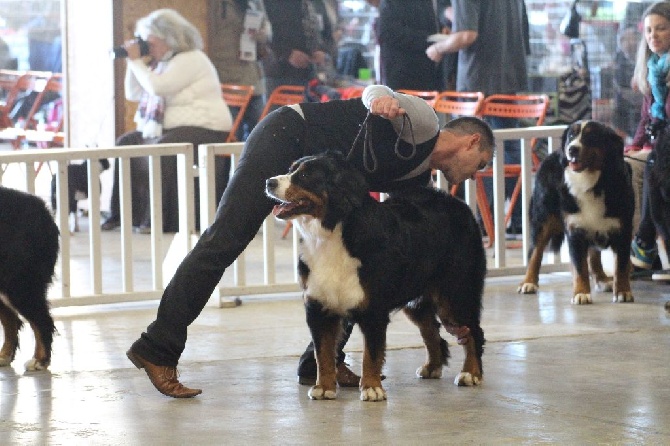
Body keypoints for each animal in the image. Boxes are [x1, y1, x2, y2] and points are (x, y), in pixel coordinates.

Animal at [0, 185, 59, 370]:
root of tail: (43, 210)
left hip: (20, 285)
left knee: (42, 320)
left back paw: (39, 360)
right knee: (12, 321)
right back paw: (4, 356)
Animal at [266, 152, 488, 402]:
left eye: (305, 175)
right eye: (290, 169)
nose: (269, 182)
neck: (331, 235)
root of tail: (458, 204)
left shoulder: (373, 308)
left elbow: (370, 354)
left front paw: (372, 388)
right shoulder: (318, 305)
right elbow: (322, 353)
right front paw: (324, 387)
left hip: (456, 293)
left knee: (473, 332)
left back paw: (470, 373)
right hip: (417, 299)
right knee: (431, 330)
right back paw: (432, 367)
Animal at [520, 120, 636, 304]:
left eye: (591, 136)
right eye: (571, 136)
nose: (572, 149)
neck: (591, 183)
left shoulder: (623, 230)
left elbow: (622, 265)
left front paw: (623, 292)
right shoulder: (575, 231)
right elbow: (579, 267)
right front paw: (581, 293)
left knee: (594, 255)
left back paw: (603, 280)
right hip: (543, 219)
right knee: (535, 253)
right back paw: (529, 282)